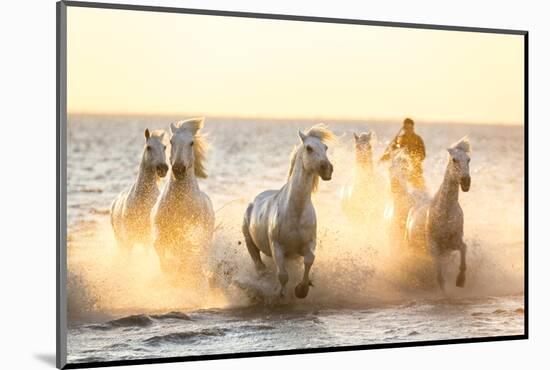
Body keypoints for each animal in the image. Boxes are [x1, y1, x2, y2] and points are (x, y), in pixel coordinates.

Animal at [154, 117, 217, 274]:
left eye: (191, 143)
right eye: (171, 141)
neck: (180, 204)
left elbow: (185, 253)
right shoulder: (162, 231)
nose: (178, 169)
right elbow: (159, 247)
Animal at [243, 124, 336, 298]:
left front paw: (302, 289)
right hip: (249, 241)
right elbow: (283, 275)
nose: (327, 168)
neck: (296, 211)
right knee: (258, 264)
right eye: (309, 148)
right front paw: (281, 295)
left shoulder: (308, 244)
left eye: (325, 147)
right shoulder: (277, 247)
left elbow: (309, 260)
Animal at [406, 137, 474, 290]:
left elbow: (464, 249)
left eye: (468, 159)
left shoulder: (453, 243)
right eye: (454, 159)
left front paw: (460, 281)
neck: (444, 213)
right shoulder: (435, 248)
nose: (466, 182)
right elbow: (440, 278)